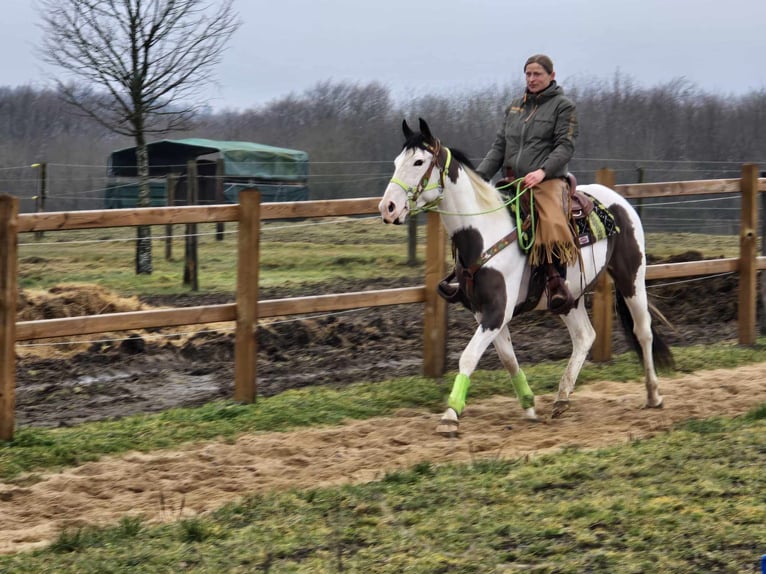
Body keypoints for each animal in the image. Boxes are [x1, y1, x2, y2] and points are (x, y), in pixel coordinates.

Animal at [378, 119, 672, 438]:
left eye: (419, 162)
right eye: (396, 162)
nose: (387, 207)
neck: (484, 233)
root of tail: (618, 201)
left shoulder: (496, 312)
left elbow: (468, 356)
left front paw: (450, 415)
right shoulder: (485, 313)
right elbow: (509, 359)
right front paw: (529, 406)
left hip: (631, 277)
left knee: (643, 331)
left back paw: (653, 394)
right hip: (568, 297)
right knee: (585, 336)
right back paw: (562, 398)